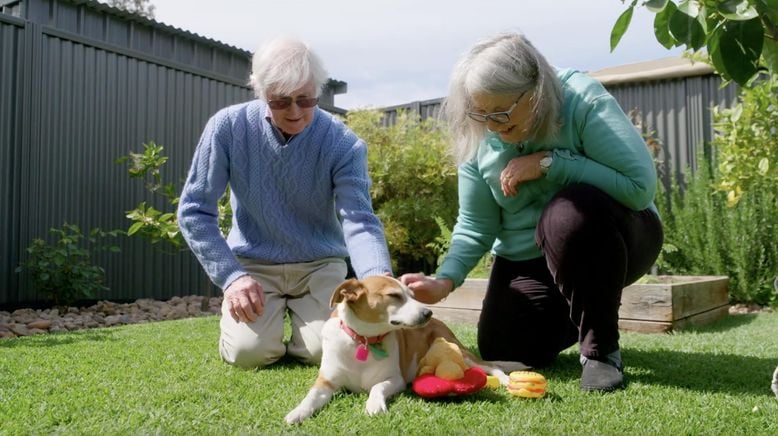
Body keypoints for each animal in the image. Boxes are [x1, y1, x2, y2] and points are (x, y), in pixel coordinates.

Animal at [284, 276, 528, 422]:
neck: (364, 341)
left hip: (460, 352)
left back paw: (506, 379)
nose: (428, 313)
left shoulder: (395, 380)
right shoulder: (326, 382)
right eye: (394, 295)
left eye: (412, 295)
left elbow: (377, 387)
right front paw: (297, 412)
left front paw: (374, 404)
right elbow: (311, 396)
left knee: (492, 365)